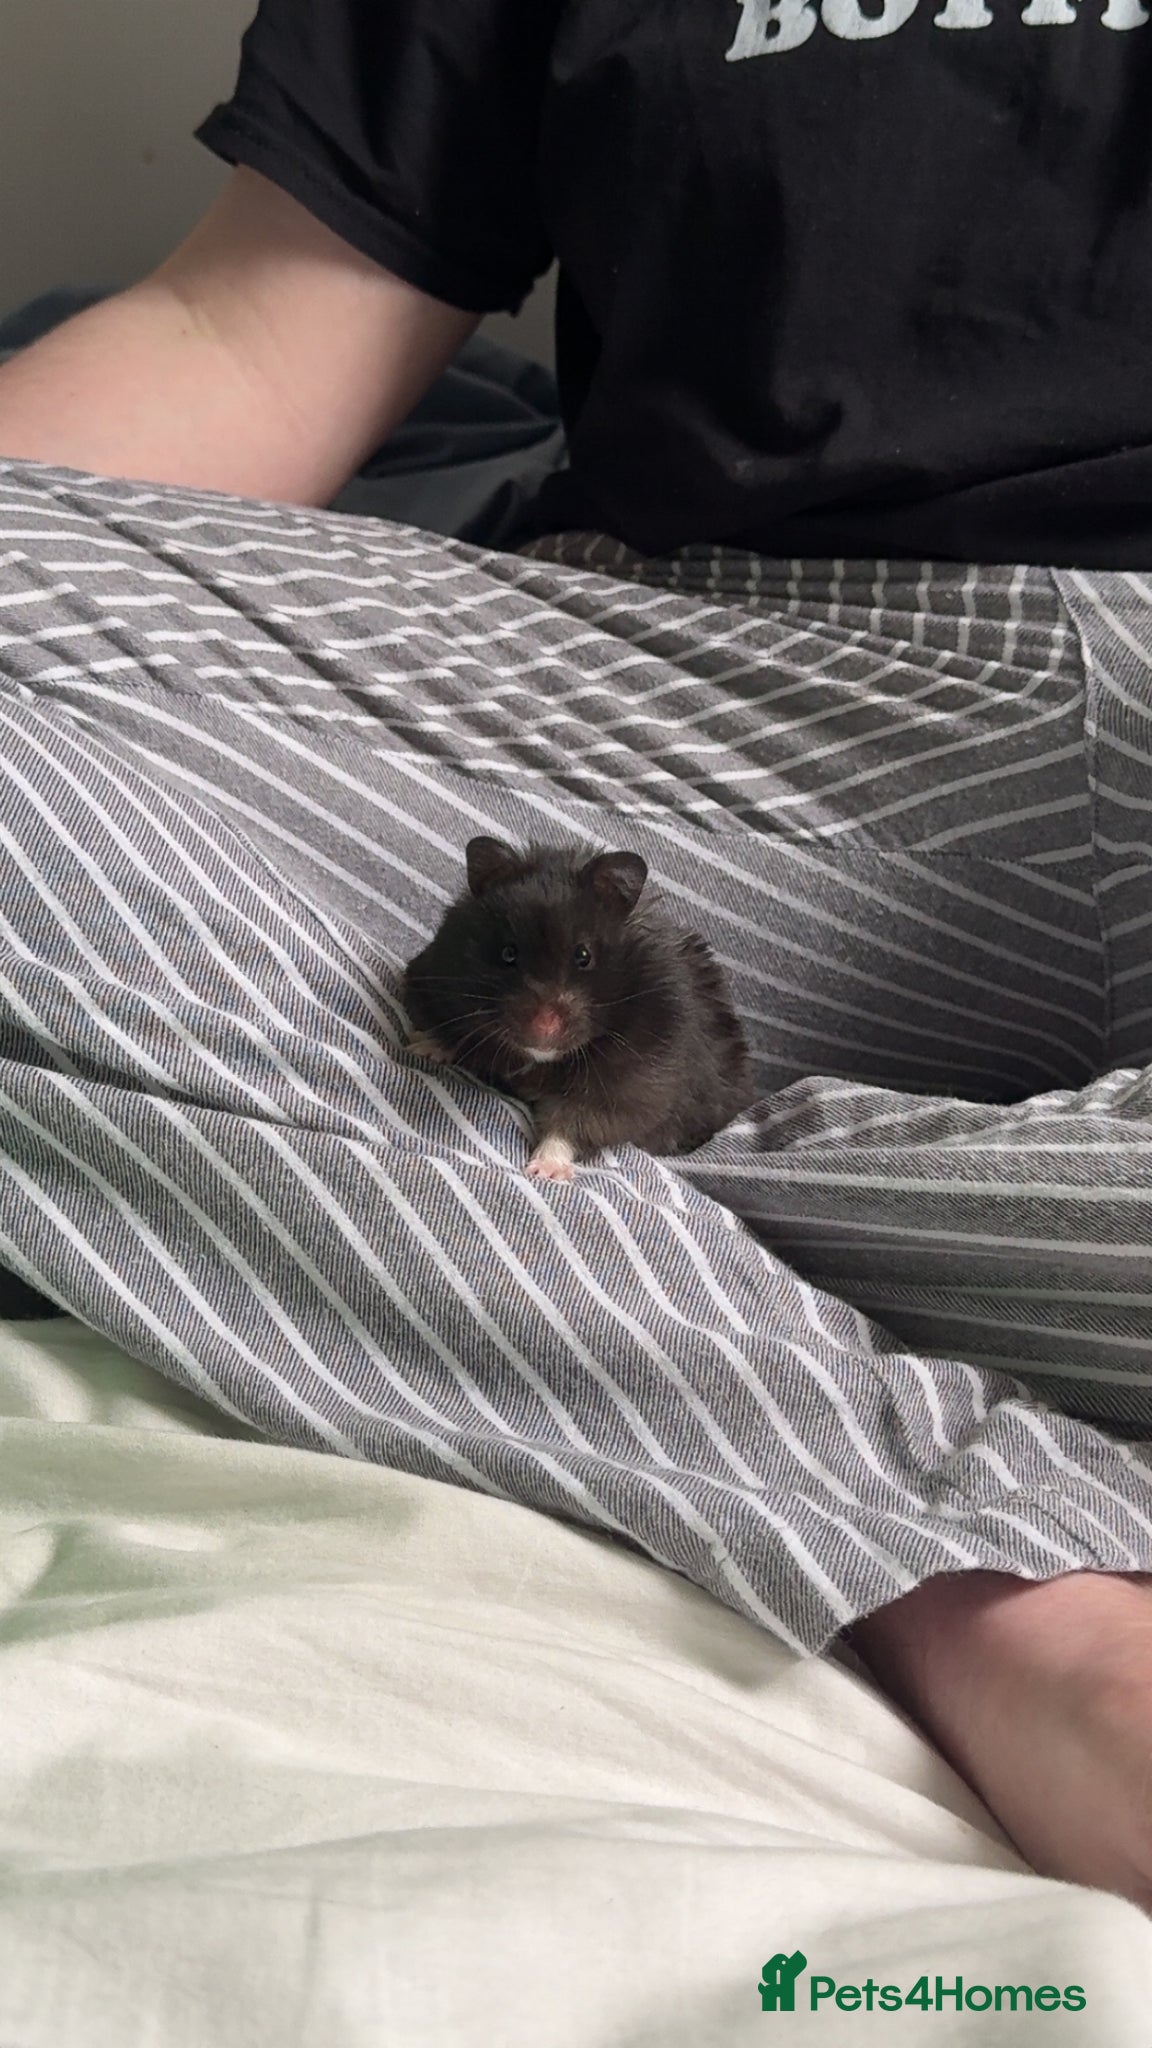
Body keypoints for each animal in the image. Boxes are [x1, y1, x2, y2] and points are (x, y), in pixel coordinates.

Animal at [402, 836, 754, 1182]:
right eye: (508, 953)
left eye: (583, 956)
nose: (544, 1027)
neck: (540, 1060)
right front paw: (420, 1046)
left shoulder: (634, 1085)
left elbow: (572, 1123)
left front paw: (544, 1172)